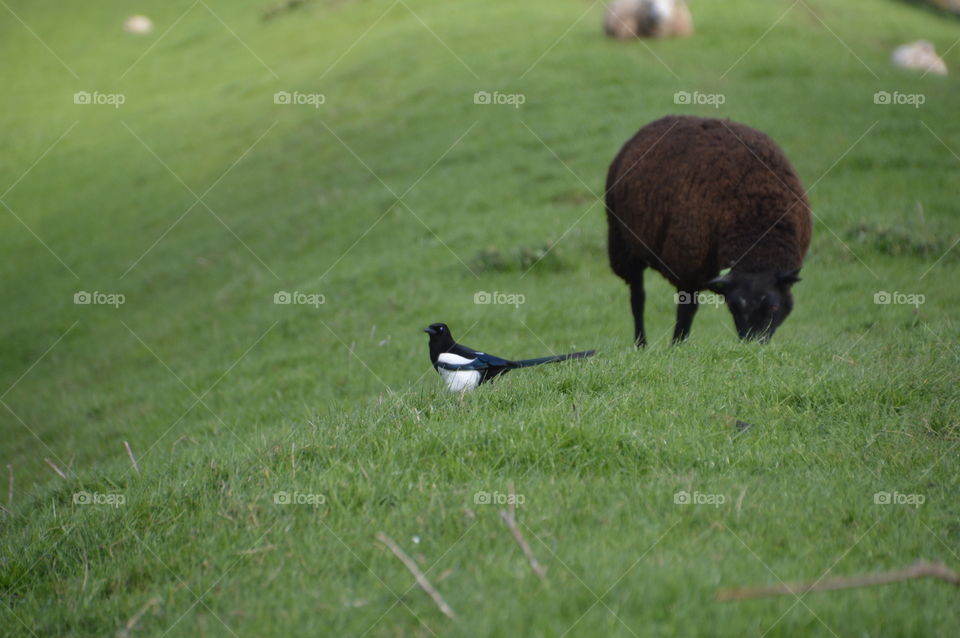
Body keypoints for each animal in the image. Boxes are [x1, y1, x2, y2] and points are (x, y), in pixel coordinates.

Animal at [605, 115, 812, 344]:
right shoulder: (687, 266)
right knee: (638, 299)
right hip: (624, 247)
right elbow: (686, 313)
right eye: (734, 307)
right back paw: (641, 343)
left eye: (773, 307)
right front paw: (677, 346)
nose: (752, 345)